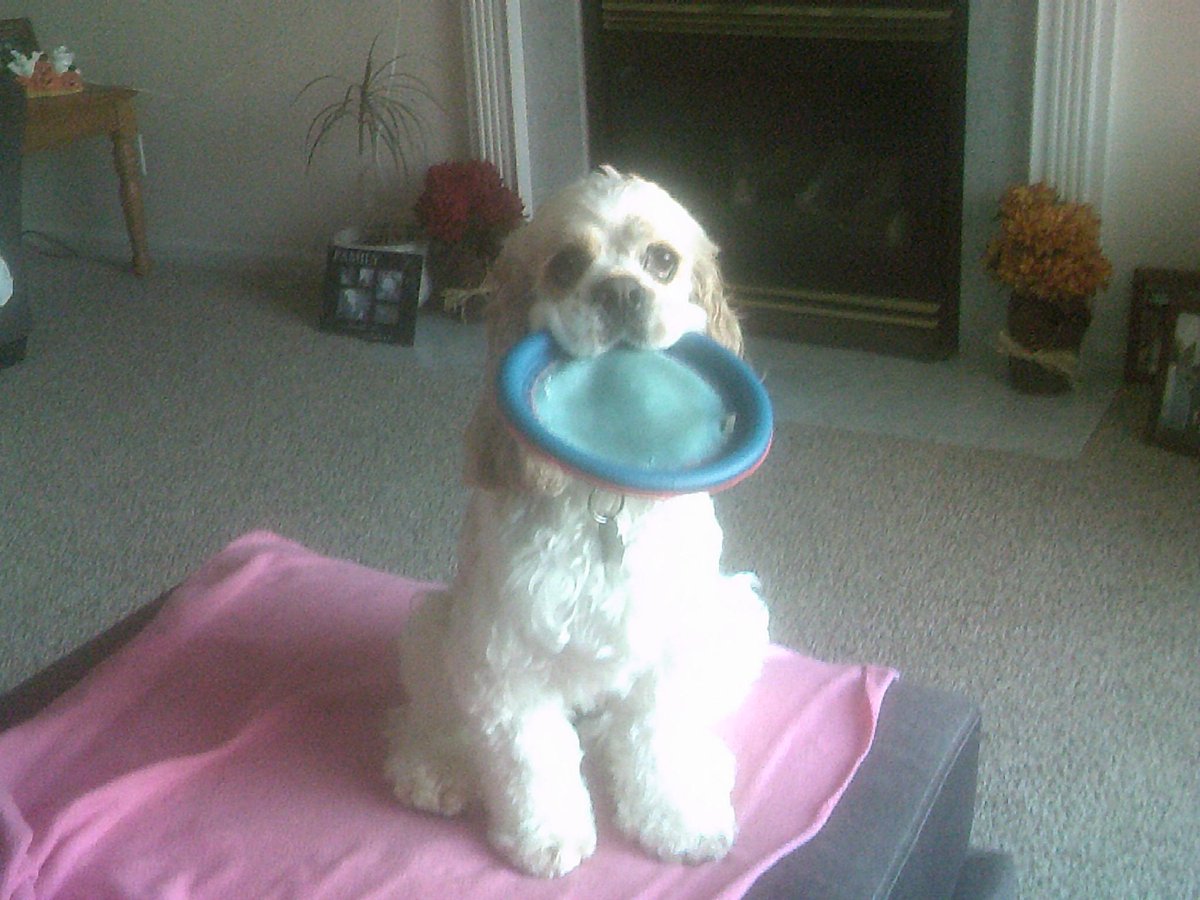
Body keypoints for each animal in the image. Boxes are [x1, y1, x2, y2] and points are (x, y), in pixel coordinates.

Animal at [385, 167, 770, 878]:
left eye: (662, 261)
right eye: (564, 265)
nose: (620, 290)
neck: (607, 504)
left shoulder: (670, 651)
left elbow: (657, 741)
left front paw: (678, 821)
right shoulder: (504, 655)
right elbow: (531, 757)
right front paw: (545, 836)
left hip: (738, 613)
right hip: (433, 623)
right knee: (430, 716)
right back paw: (437, 767)